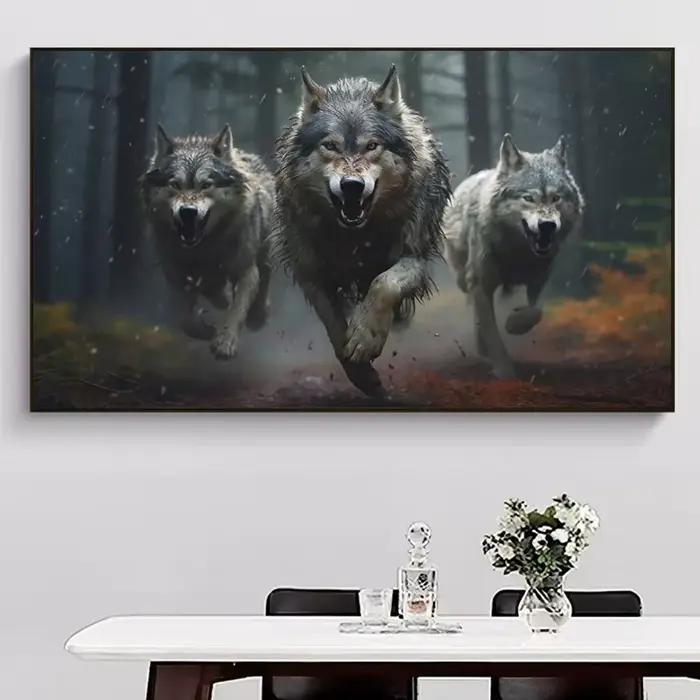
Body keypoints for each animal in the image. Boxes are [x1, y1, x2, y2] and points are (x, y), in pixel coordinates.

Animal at [140, 125, 274, 359]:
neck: (204, 248)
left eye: (206, 185)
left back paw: (257, 316)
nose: (188, 211)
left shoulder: (245, 271)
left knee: (264, 277)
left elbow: (237, 311)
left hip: (263, 253)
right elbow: (185, 319)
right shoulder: (174, 272)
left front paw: (225, 342)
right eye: (175, 184)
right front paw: (204, 331)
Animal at [273, 65, 451, 397]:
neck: (356, 235)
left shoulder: (415, 257)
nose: (352, 185)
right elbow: (333, 324)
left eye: (371, 146)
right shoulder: (311, 273)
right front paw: (361, 374)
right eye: (330, 145)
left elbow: (385, 284)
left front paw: (366, 338)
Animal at [444, 133, 584, 378]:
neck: (517, 252)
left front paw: (514, 324)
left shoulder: (539, 279)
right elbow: (492, 333)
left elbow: (535, 311)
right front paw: (504, 370)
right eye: (528, 198)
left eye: (556, 198)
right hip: (464, 279)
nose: (547, 225)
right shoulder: (481, 284)